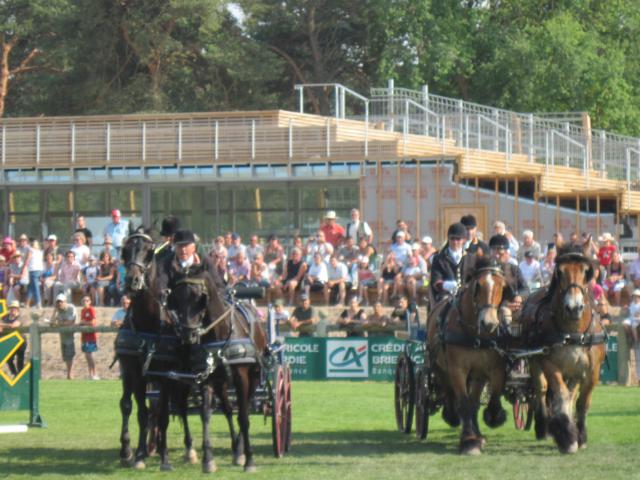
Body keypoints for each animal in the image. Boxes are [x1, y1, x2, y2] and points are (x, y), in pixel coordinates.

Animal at [114, 229, 196, 468]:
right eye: (125, 250)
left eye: (148, 251)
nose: (132, 280)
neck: (147, 324)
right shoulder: (134, 373)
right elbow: (136, 410)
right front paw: (135, 453)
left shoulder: (167, 376)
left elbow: (164, 415)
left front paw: (165, 458)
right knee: (151, 408)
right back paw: (152, 446)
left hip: (181, 378)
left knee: (179, 407)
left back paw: (187, 449)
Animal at [158, 258, 270, 472]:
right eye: (176, 298)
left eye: (199, 297)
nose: (189, 334)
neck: (220, 332)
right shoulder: (206, 377)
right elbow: (206, 414)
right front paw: (208, 459)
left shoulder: (241, 378)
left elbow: (244, 416)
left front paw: (249, 459)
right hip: (220, 382)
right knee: (227, 408)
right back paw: (235, 448)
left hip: (252, 376)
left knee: (245, 407)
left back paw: (240, 450)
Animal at [428, 256, 508, 456]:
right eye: (478, 286)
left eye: (502, 286)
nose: (489, 323)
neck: (475, 335)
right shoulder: (457, 369)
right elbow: (463, 403)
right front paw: (469, 441)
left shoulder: (491, 369)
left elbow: (484, 400)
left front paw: (492, 418)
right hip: (439, 367)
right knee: (450, 393)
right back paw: (452, 416)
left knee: (472, 403)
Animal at [520, 248, 604, 454]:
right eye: (560, 272)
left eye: (585, 271)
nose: (574, 308)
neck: (574, 332)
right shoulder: (550, 364)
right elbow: (561, 395)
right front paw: (566, 436)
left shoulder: (592, 370)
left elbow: (582, 401)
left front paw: (580, 435)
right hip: (534, 362)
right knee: (542, 390)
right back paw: (544, 426)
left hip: (574, 370)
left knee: (571, 393)